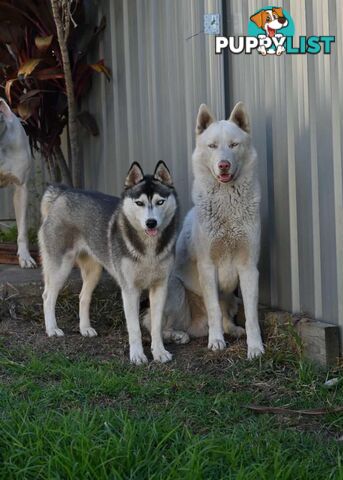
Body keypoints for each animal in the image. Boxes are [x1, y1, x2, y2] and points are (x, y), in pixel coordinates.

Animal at [146, 101, 266, 358]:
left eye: (233, 145)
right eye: (212, 146)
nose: (223, 165)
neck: (227, 204)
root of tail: (195, 326)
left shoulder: (249, 267)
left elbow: (251, 315)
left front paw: (255, 347)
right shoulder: (208, 267)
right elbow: (213, 309)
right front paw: (216, 342)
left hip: (231, 297)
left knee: (225, 315)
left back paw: (233, 330)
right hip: (174, 289)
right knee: (155, 324)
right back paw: (178, 336)